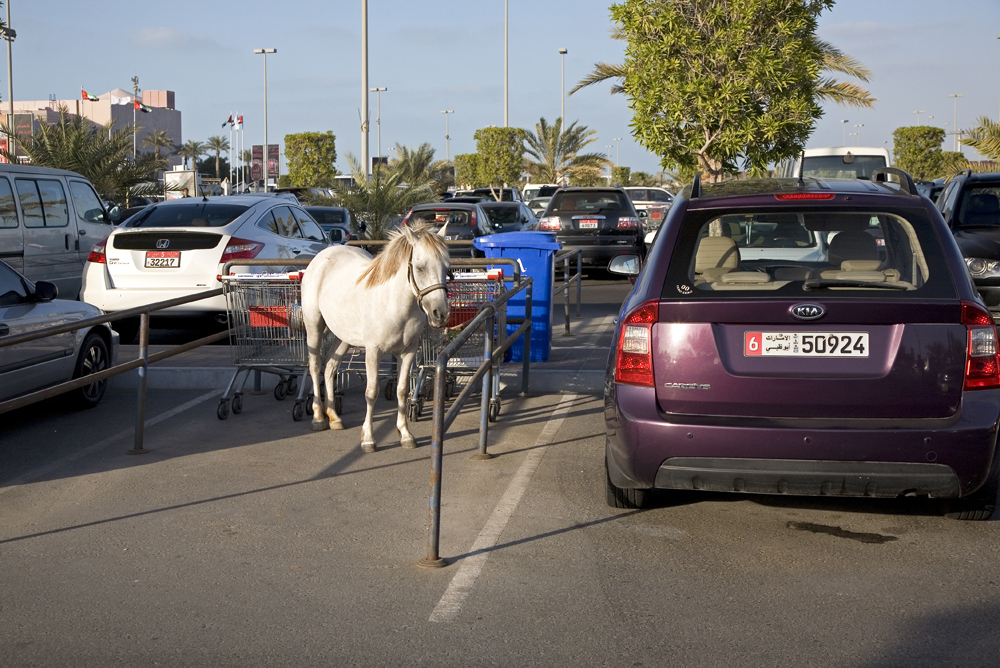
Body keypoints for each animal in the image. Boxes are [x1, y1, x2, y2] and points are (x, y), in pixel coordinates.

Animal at [298, 224, 452, 454]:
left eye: (447, 267)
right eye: (420, 267)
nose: (440, 313)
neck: (394, 304)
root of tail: (323, 255)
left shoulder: (408, 351)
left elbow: (401, 390)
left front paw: (405, 435)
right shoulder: (373, 352)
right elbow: (371, 392)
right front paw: (368, 439)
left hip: (343, 337)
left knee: (330, 367)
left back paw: (334, 417)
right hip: (314, 326)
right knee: (315, 366)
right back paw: (318, 417)